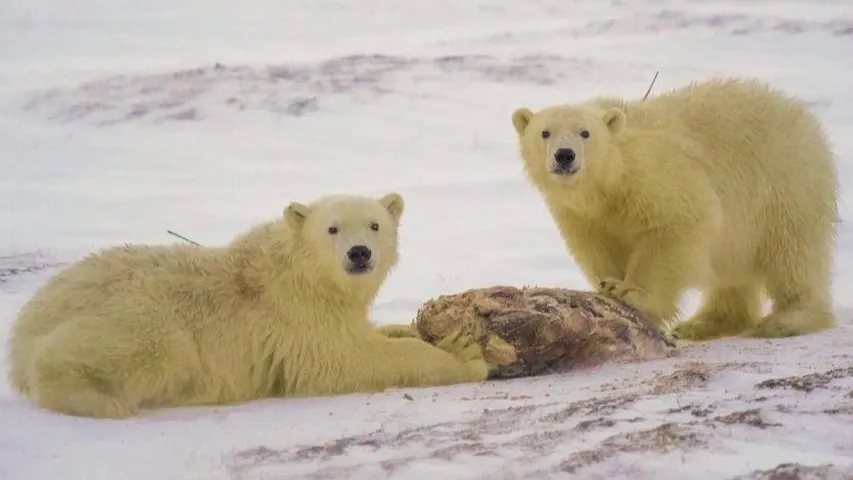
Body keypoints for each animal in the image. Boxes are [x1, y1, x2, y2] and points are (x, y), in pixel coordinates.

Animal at [6, 193, 490, 418]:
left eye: (375, 224)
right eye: (332, 228)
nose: (359, 254)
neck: (299, 272)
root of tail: (22, 330)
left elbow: (367, 335)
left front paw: (411, 329)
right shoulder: (296, 317)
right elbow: (349, 359)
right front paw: (464, 354)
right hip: (143, 316)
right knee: (156, 348)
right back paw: (98, 400)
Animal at [512, 78, 840, 342]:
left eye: (585, 133)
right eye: (544, 132)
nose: (564, 155)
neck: (611, 183)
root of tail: (805, 118)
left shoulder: (655, 176)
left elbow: (674, 226)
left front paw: (631, 294)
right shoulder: (583, 216)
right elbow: (599, 247)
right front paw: (608, 286)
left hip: (785, 184)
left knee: (793, 253)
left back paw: (787, 319)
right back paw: (704, 323)